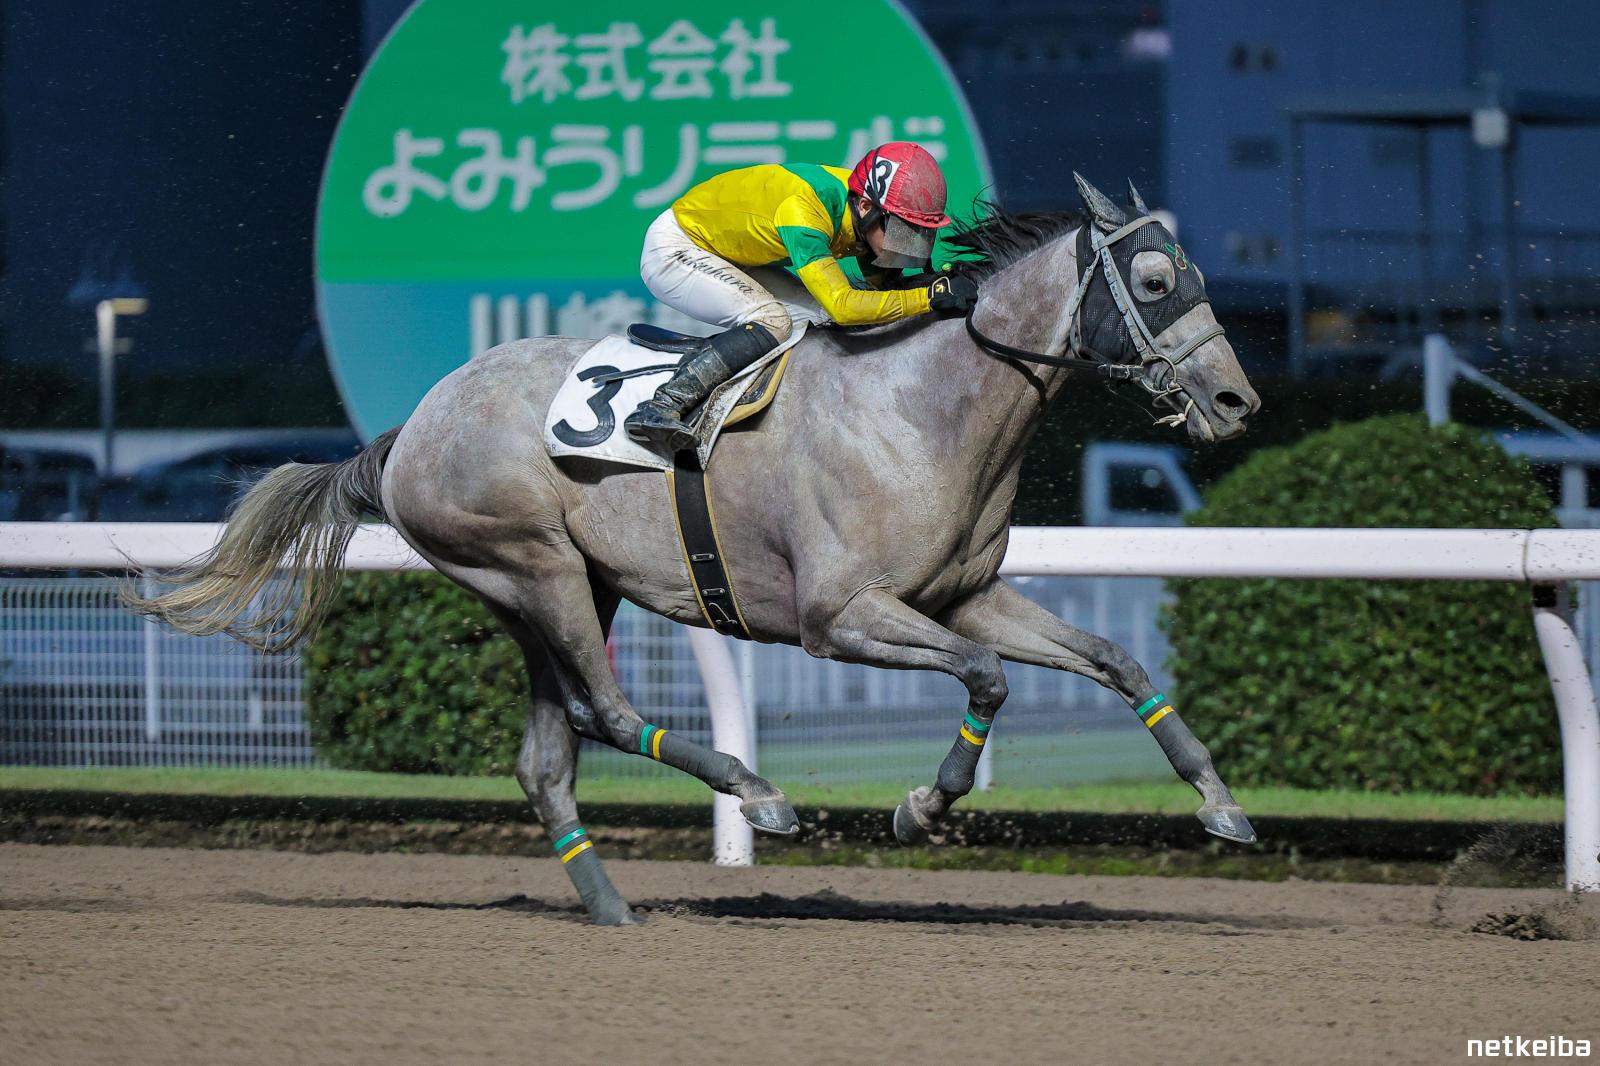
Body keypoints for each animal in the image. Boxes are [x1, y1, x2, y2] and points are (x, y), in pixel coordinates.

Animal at [125, 174, 1262, 924]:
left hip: (553, 588)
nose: (1235, 402)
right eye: (1154, 280)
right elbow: (985, 676)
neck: (921, 408)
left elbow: (1111, 660)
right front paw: (919, 804)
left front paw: (1219, 804)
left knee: (548, 759)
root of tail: (411, 427)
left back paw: (612, 908)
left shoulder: (962, 595)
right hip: (532, 564)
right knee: (607, 712)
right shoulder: (840, 618)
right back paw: (756, 796)